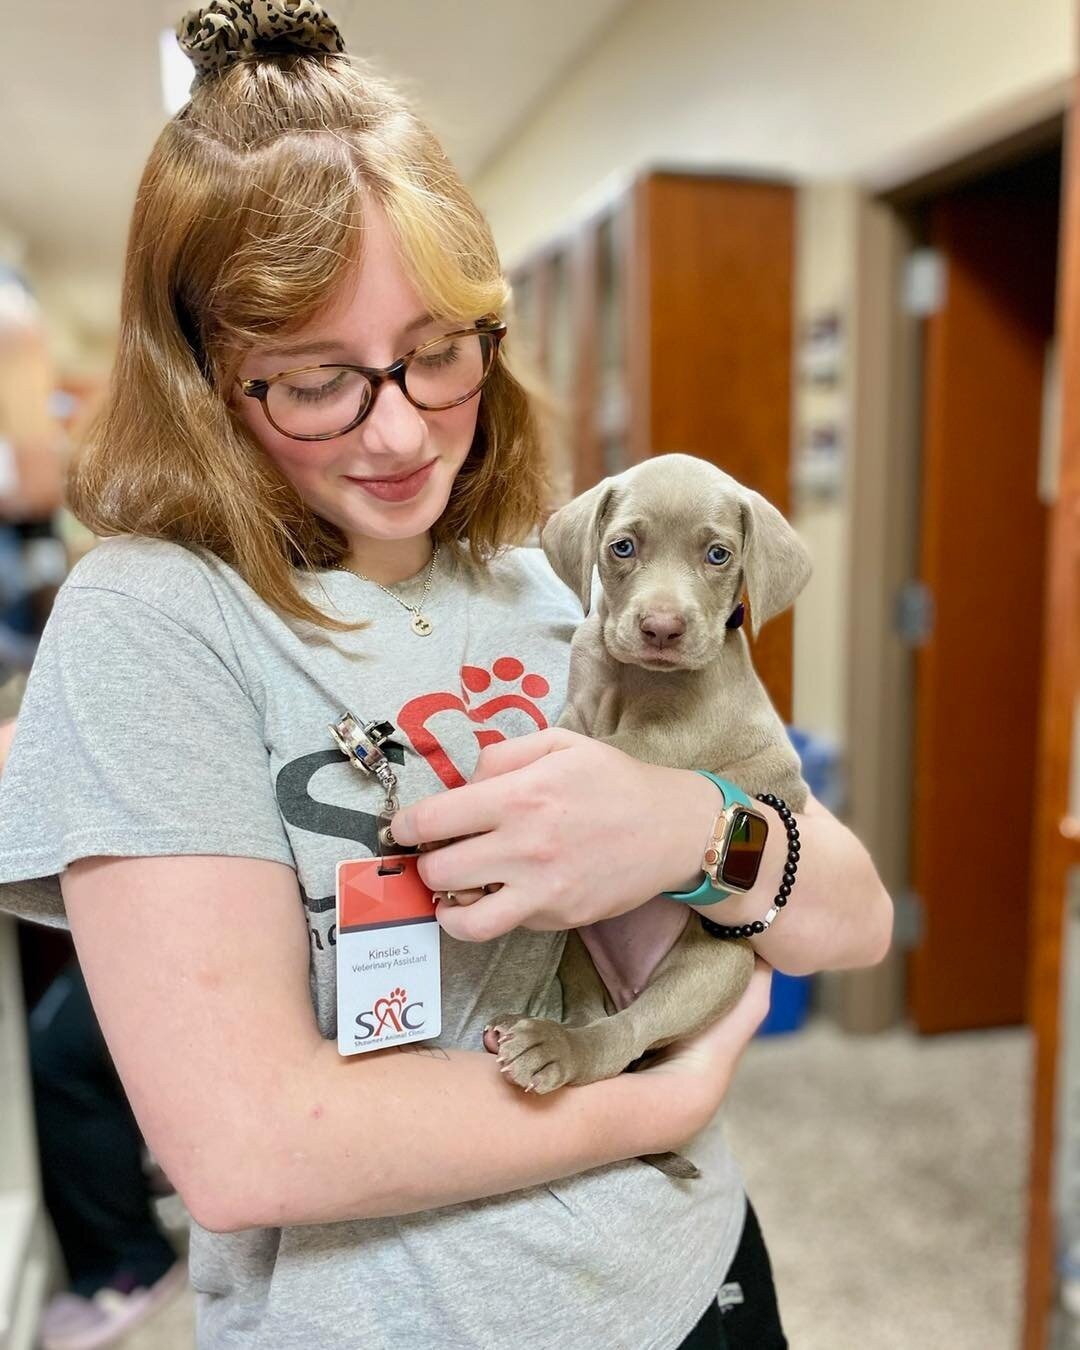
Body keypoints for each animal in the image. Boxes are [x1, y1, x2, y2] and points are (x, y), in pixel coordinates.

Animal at [486, 459, 810, 1166]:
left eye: (718, 555)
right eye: (622, 547)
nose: (662, 628)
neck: (630, 679)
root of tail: (631, 985)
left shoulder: (669, 739)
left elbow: (601, 753)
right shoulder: (580, 704)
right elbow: (568, 732)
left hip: (714, 967)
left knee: (625, 1035)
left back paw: (555, 1048)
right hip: (579, 948)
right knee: (596, 1020)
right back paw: (545, 1030)